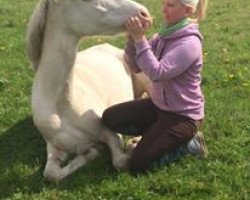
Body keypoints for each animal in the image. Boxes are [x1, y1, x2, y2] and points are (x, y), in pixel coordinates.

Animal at [26, 0, 149, 181]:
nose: (144, 13)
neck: (61, 106)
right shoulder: (54, 145)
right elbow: (51, 173)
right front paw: (89, 152)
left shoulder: (110, 133)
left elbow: (120, 161)